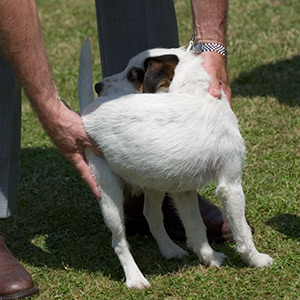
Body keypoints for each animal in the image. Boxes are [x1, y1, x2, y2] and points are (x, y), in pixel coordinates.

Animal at [78, 39, 274, 288]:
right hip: (108, 192)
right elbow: (242, 232)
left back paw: (170, 249)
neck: (196, 92)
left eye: (133, 75)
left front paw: (209, 258)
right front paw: (256, 259)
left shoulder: (184, 190)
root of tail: (85, 117)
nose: (98, 86)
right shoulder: (230, 184)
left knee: (151, 216)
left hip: (154, 182)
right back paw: (135, 278)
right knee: (119, 241)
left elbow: (196, 227)